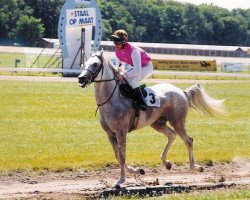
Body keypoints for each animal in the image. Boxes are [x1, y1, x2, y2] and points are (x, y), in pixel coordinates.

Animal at [77, 50, 225, 188]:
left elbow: (122, 156)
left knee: (188, 140)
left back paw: (195, 167)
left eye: (95, 64)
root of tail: (181, 92)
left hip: (177, 121)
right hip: (157, 123)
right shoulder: (110, 134)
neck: (112, 99)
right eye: (85, 63)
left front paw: (121, 181)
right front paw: (137, 171)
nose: (81, 78)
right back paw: (167, 163)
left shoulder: (121, 132)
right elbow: (118, 156)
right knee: (171, 135)